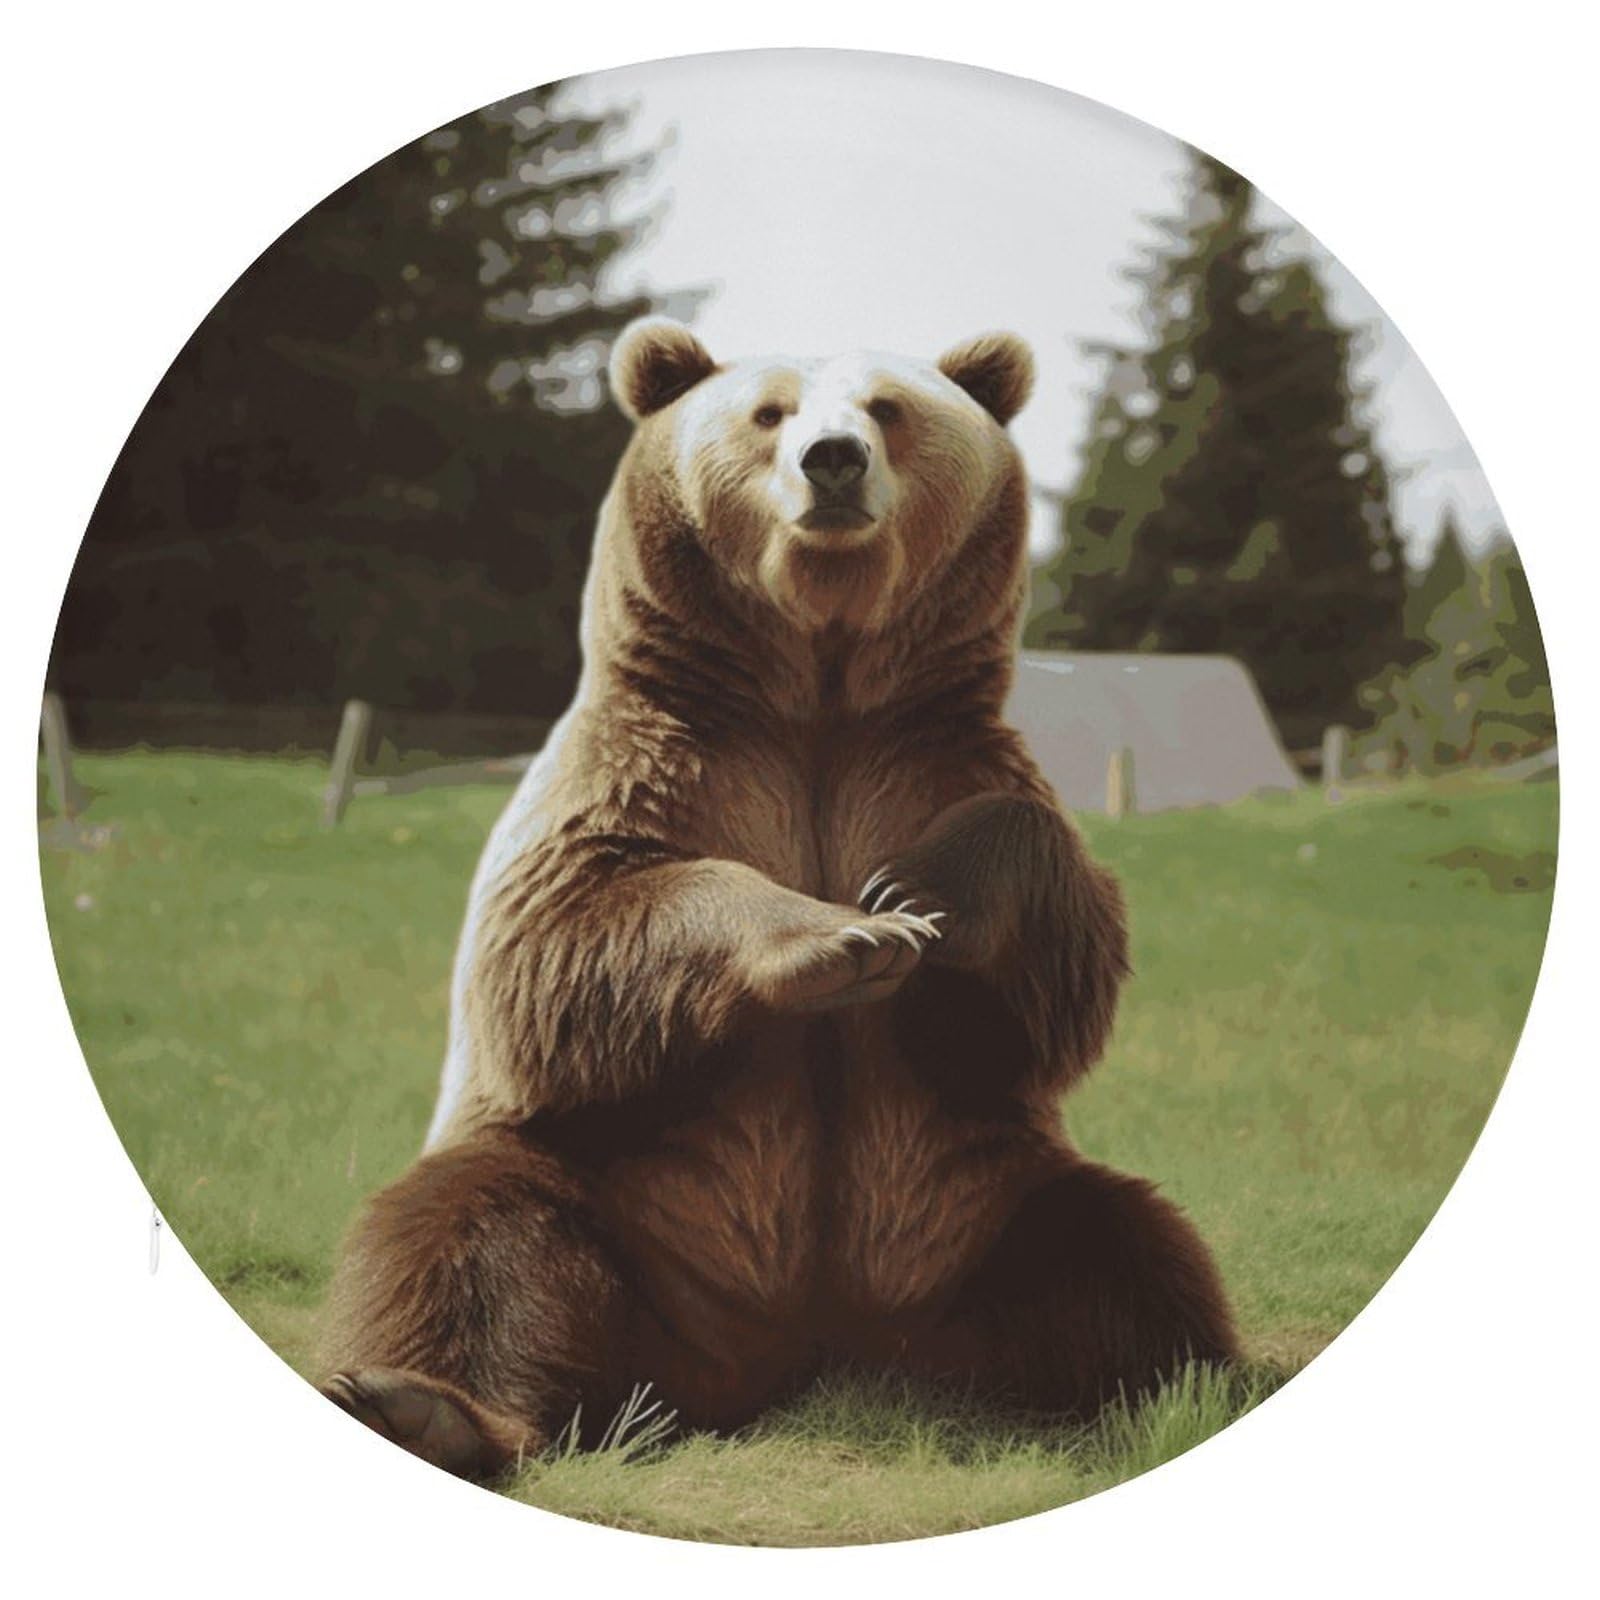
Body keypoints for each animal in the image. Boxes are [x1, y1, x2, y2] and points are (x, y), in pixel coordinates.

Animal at [318, 318, 1238, 1477]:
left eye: (889, 407)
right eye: (769, 413)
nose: (832, 461)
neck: (816, 691)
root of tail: (798, 1356)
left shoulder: (931, 758)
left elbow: (1055, 968)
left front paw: (913, 888)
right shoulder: (654, 763)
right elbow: (558, 939)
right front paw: (849, 933)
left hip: (972, 1213)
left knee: (1120, 1248)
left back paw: (1177, 1393)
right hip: (622, 1207)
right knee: (467, 1231)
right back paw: (420, 1405)